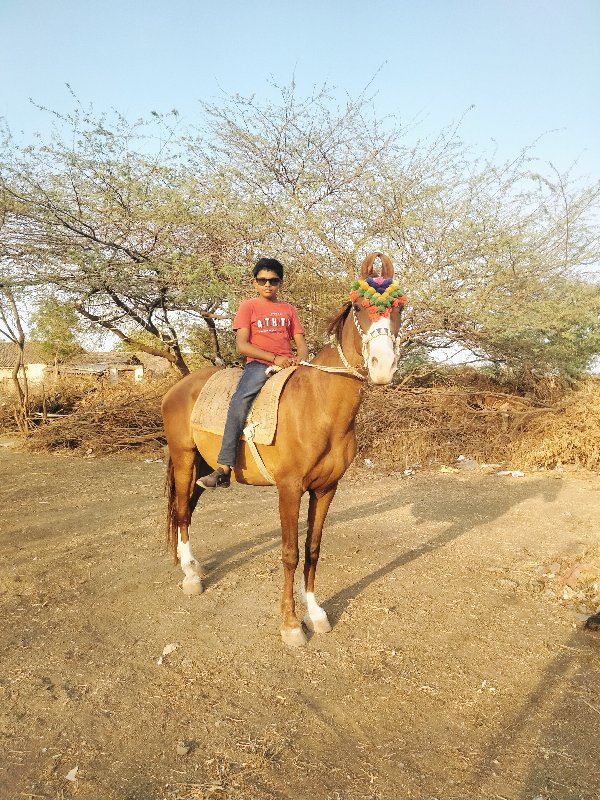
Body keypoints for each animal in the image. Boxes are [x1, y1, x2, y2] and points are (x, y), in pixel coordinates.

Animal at [159, 253, 406, 648]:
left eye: (400, 307)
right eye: (358, 306)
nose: (383, 366)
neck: (318, 405)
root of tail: (179, 387)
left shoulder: (326, 489)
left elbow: (313, 550)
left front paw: (316, 613)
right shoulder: (289, 489)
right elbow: (291, 553)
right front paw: (291, 624)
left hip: (201, 466)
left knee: (189, 511)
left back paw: (194, 564)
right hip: (183, 459)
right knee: (182, 512)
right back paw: (190, 577)